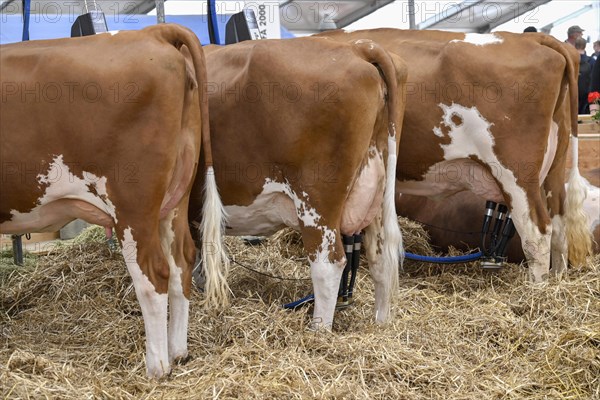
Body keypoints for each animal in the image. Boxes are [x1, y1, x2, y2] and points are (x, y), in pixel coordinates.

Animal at [0, 24, 225, 378]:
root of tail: (153, 32)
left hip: (132, 207)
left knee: (154, 275)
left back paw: (157, 367)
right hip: (175, 198)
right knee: (181, 263)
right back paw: (178, 352)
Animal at [192, 37, 408, 330]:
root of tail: (358, 46)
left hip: (316, 202)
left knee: (328, 264)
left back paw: (318, 331)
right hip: (375, 191)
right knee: (381, 258)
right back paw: (380, 325)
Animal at [322, 28, 592, 282]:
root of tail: (534, 39)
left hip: (517, 173)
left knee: (537, 233)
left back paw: (536, 288)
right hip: (554, 166)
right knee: (559, 227)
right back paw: (557, 281)